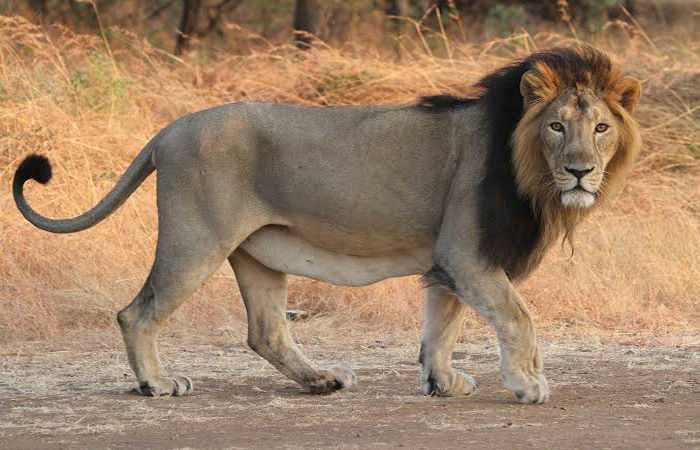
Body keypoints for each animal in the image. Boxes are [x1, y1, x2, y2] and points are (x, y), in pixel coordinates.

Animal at [13, 45, 641, 403]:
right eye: (557, 126)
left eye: (601, 128)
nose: (581, 171)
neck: (529, 166)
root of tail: (168, 130)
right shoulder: (469, 253)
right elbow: (519, 318)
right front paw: (529, 384)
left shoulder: (451, 260)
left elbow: (442, 326)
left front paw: (442, 384)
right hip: (195, 241)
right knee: (136, 312)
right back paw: (157, 384)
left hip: (258, 253)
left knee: (265, 331)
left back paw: (321, 380)